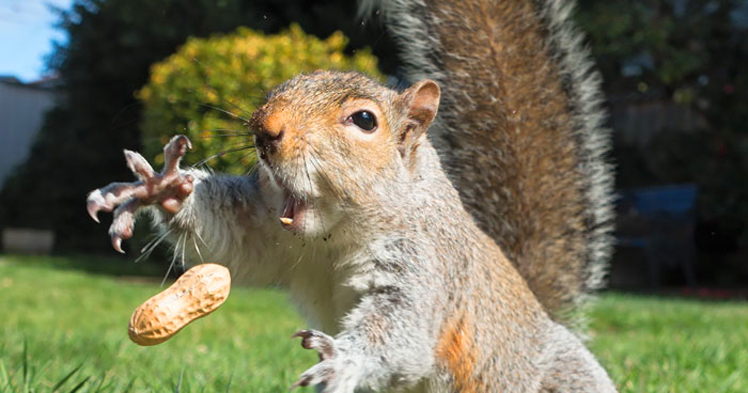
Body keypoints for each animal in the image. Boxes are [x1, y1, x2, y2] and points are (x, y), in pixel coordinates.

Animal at [86, 0, 612, 388]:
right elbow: (232, 239)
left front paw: (344, 357)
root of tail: (544, 315)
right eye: (279, 88)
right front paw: (162, 187)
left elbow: (402, 329)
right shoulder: (267, 231)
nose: (264, 130)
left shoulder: (426, 264)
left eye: (364, 120)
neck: (334, 236)